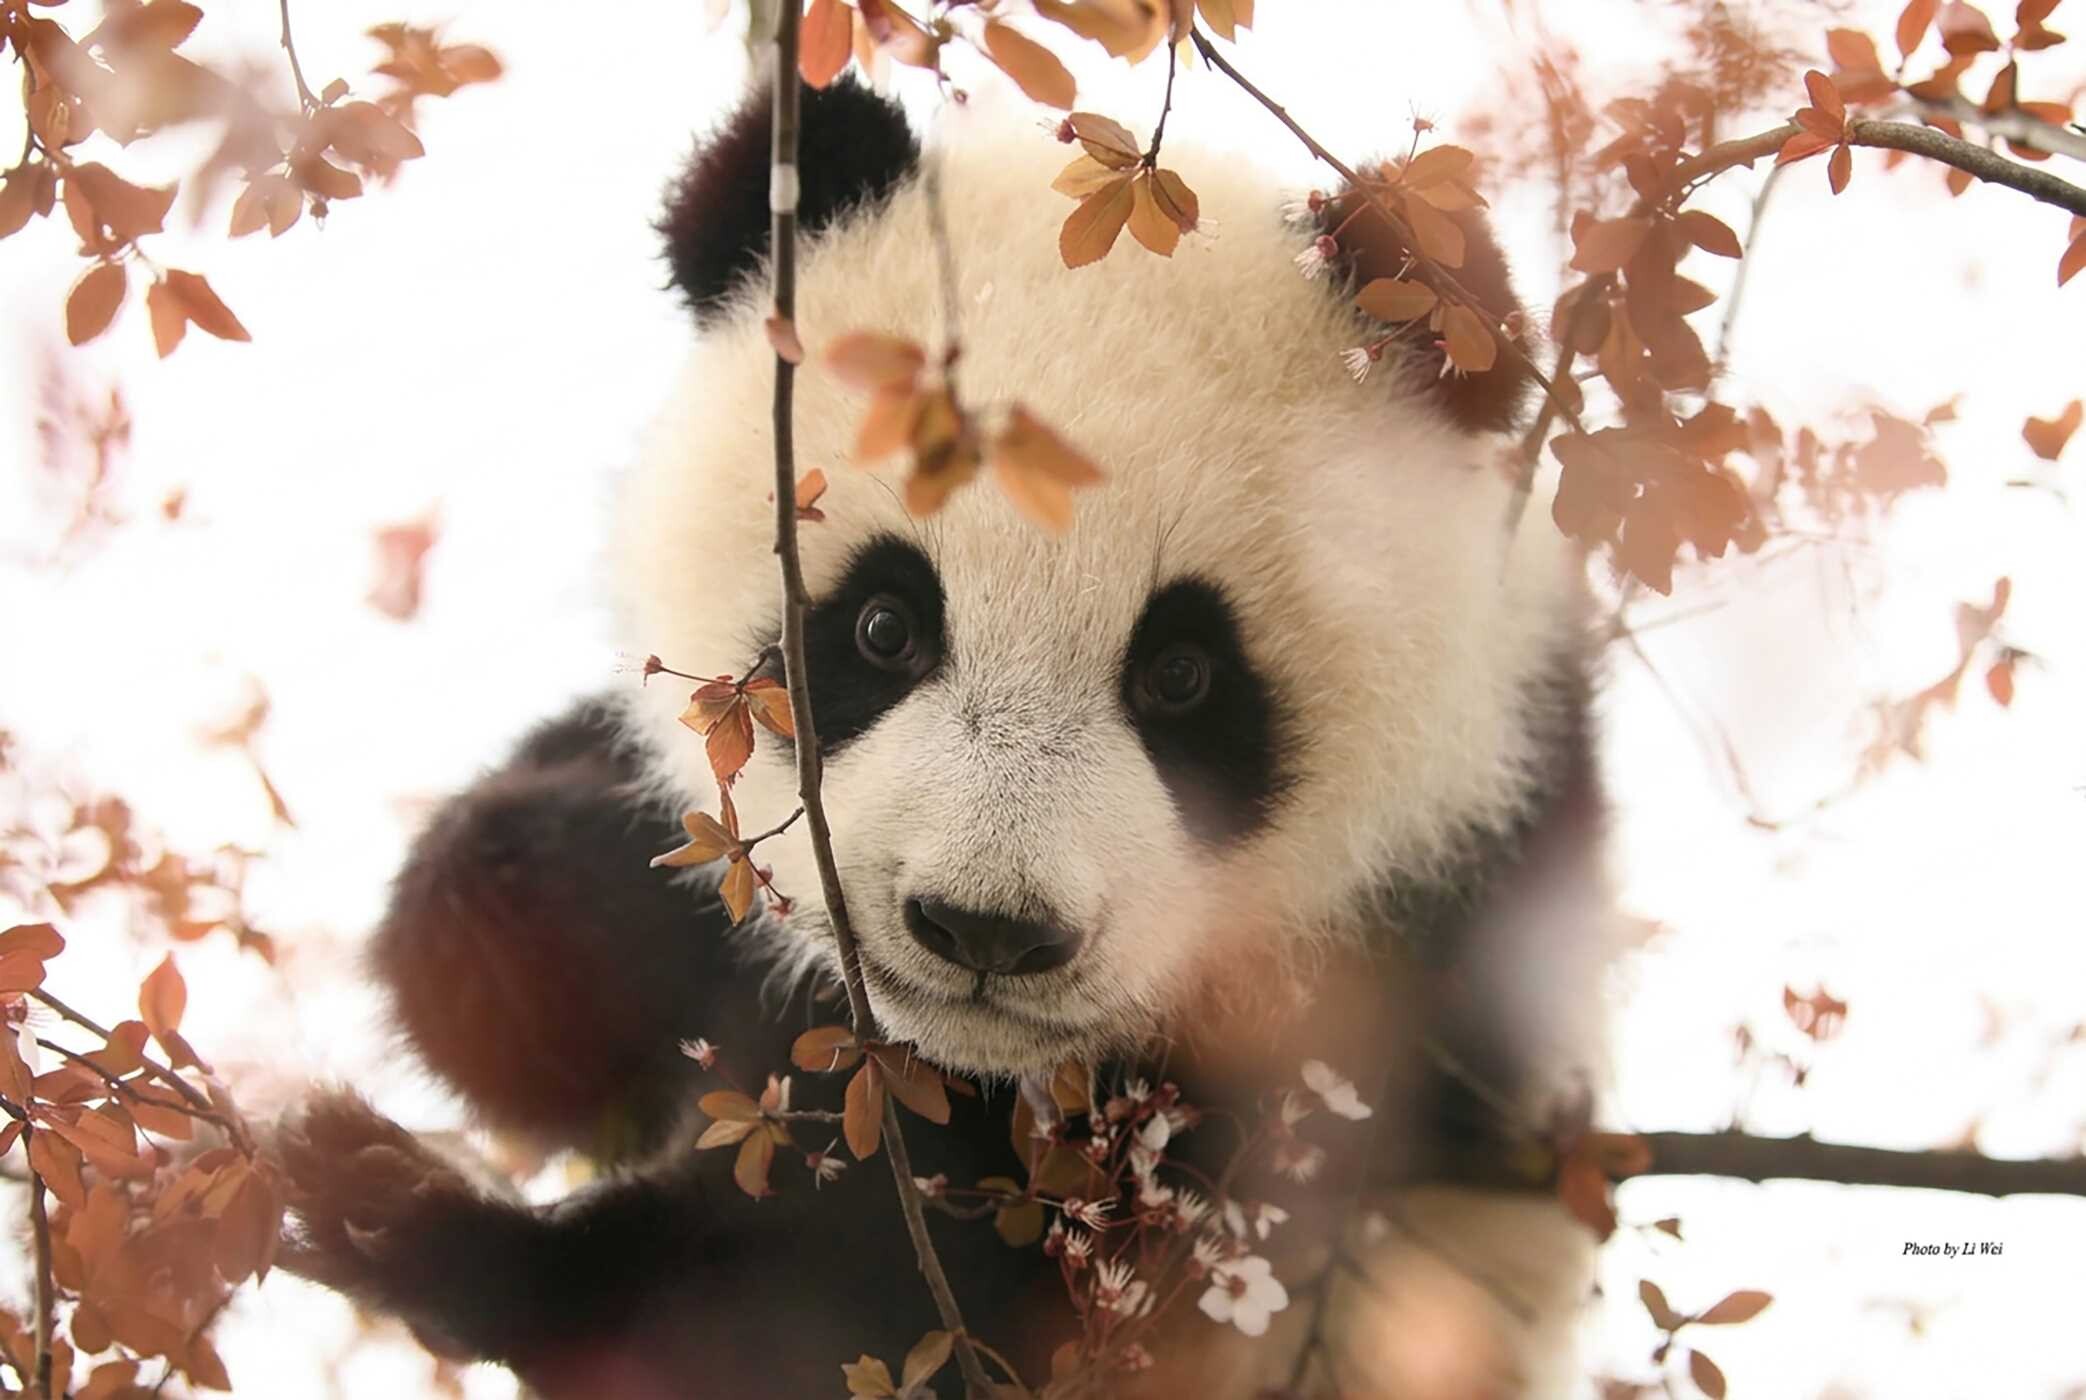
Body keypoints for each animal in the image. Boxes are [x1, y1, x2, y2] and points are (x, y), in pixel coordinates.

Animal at [277, 75, 1611, 1400]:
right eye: (884, 623)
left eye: (1182, 674)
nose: (985, 929)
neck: (955, 1061)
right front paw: (546, 916)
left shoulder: (1397, 979)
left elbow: (808, 1315)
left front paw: (410, 1216)